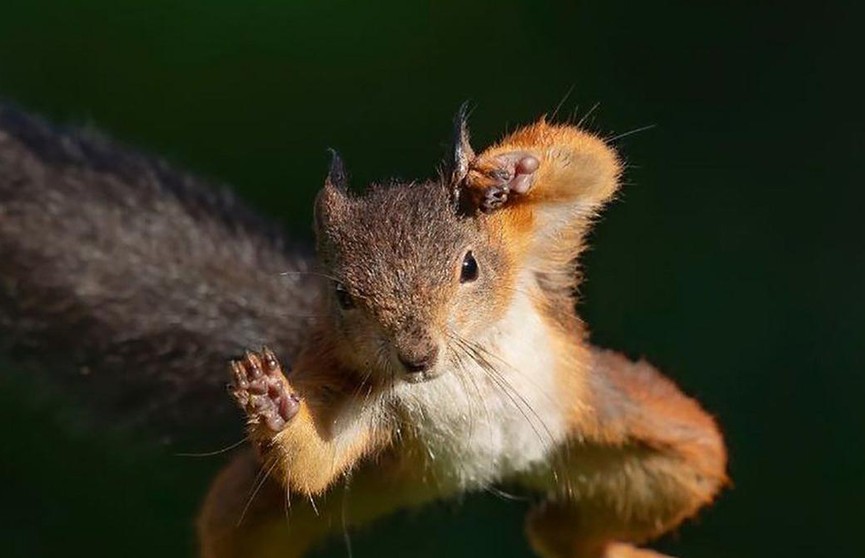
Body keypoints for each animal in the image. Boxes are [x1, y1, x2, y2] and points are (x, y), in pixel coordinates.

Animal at [0, 104, 724, 558]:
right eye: (344, 297)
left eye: (469, 266)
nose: (415, 357)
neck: (455, 367)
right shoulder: (352, 391)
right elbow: (315, 459)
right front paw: (274, 406)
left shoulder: (532, 256)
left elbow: (592, 164)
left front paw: (505, 170)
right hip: (322, 492)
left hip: (636, 437)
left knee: (587, 523)